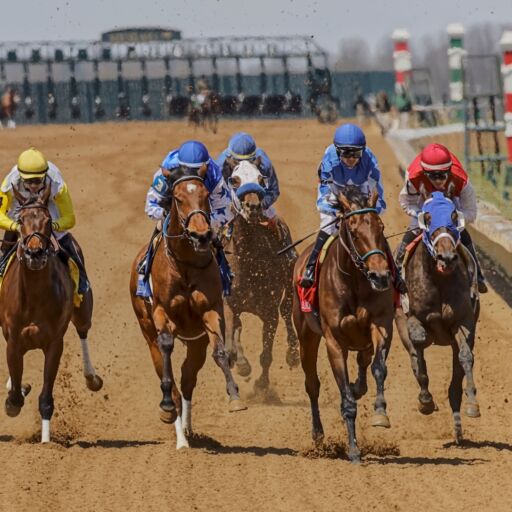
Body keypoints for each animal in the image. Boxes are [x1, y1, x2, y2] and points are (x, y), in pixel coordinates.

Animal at [0, 182, 103, 442]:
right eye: (21, 219)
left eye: (48, 221)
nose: (35, 253)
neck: (35, 297)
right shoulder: (14, 340)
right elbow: (15, 392)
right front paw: (14, 396)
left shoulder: (54, 343)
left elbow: (46, 399)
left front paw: (46, 443)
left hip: (83, 309)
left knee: (83, 330)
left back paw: (91, 377)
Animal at [130, 167, 246, 448]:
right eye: (178, 198)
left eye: (204, 195)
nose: (201, 235)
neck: (184, 264)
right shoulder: (162, 313)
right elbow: (166, 349)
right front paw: (167, 407)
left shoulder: (211, 311)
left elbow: (220, 352)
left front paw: (234, 396)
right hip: (146, 330)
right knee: (167, 371)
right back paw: (179, 433)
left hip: (196, 342)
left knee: (187, 378)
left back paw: (186, 429)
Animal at [224, 161, 300, 392]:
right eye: (234, 180)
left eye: (260, 179)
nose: (253, 207)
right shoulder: (229, 304)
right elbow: (231, 336)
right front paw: (238, 362)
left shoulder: (269, 312)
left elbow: (266, 355)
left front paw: (262, 384)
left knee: (286, 310)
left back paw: (293, 353)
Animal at [292, 186, 396, 462]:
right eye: (354, 231)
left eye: (381, 228)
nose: (380, 276)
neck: (354, 280)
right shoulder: (333, 341)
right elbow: (346, 400)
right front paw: (353, 449)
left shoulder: (381, 325)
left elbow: (379, 368)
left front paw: (380, 413)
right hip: (306, 336)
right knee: (312, 384)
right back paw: (318, 436)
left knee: (363, 362)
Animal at [394, 189, 482, 444]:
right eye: (428, 217)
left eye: (454, 216)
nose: (447, 257)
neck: (440, 280)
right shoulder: (411, 318)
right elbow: (419, 344)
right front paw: (425, 401)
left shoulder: (464, 321)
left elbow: (466, 357)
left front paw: (473, 404)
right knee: (415, 356)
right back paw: (426, 400)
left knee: (455, 381)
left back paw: (458, 428)